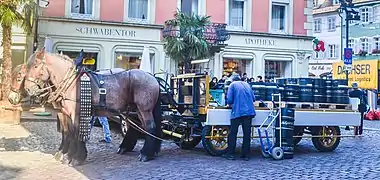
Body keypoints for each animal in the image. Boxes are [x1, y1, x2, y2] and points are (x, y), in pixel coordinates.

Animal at [7, 47, 162, 166]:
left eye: (35, 66)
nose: (11, 98)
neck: (71, 83)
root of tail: (152, 77)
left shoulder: (75, 113)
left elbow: (75, 133)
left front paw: (74, 157)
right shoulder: (64, 113)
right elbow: (67, 132)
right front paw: (64, 154)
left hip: (144, 109)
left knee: (150, 127)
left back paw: (146, 154)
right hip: (135, 110)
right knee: (138, 127)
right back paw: (132, 149)